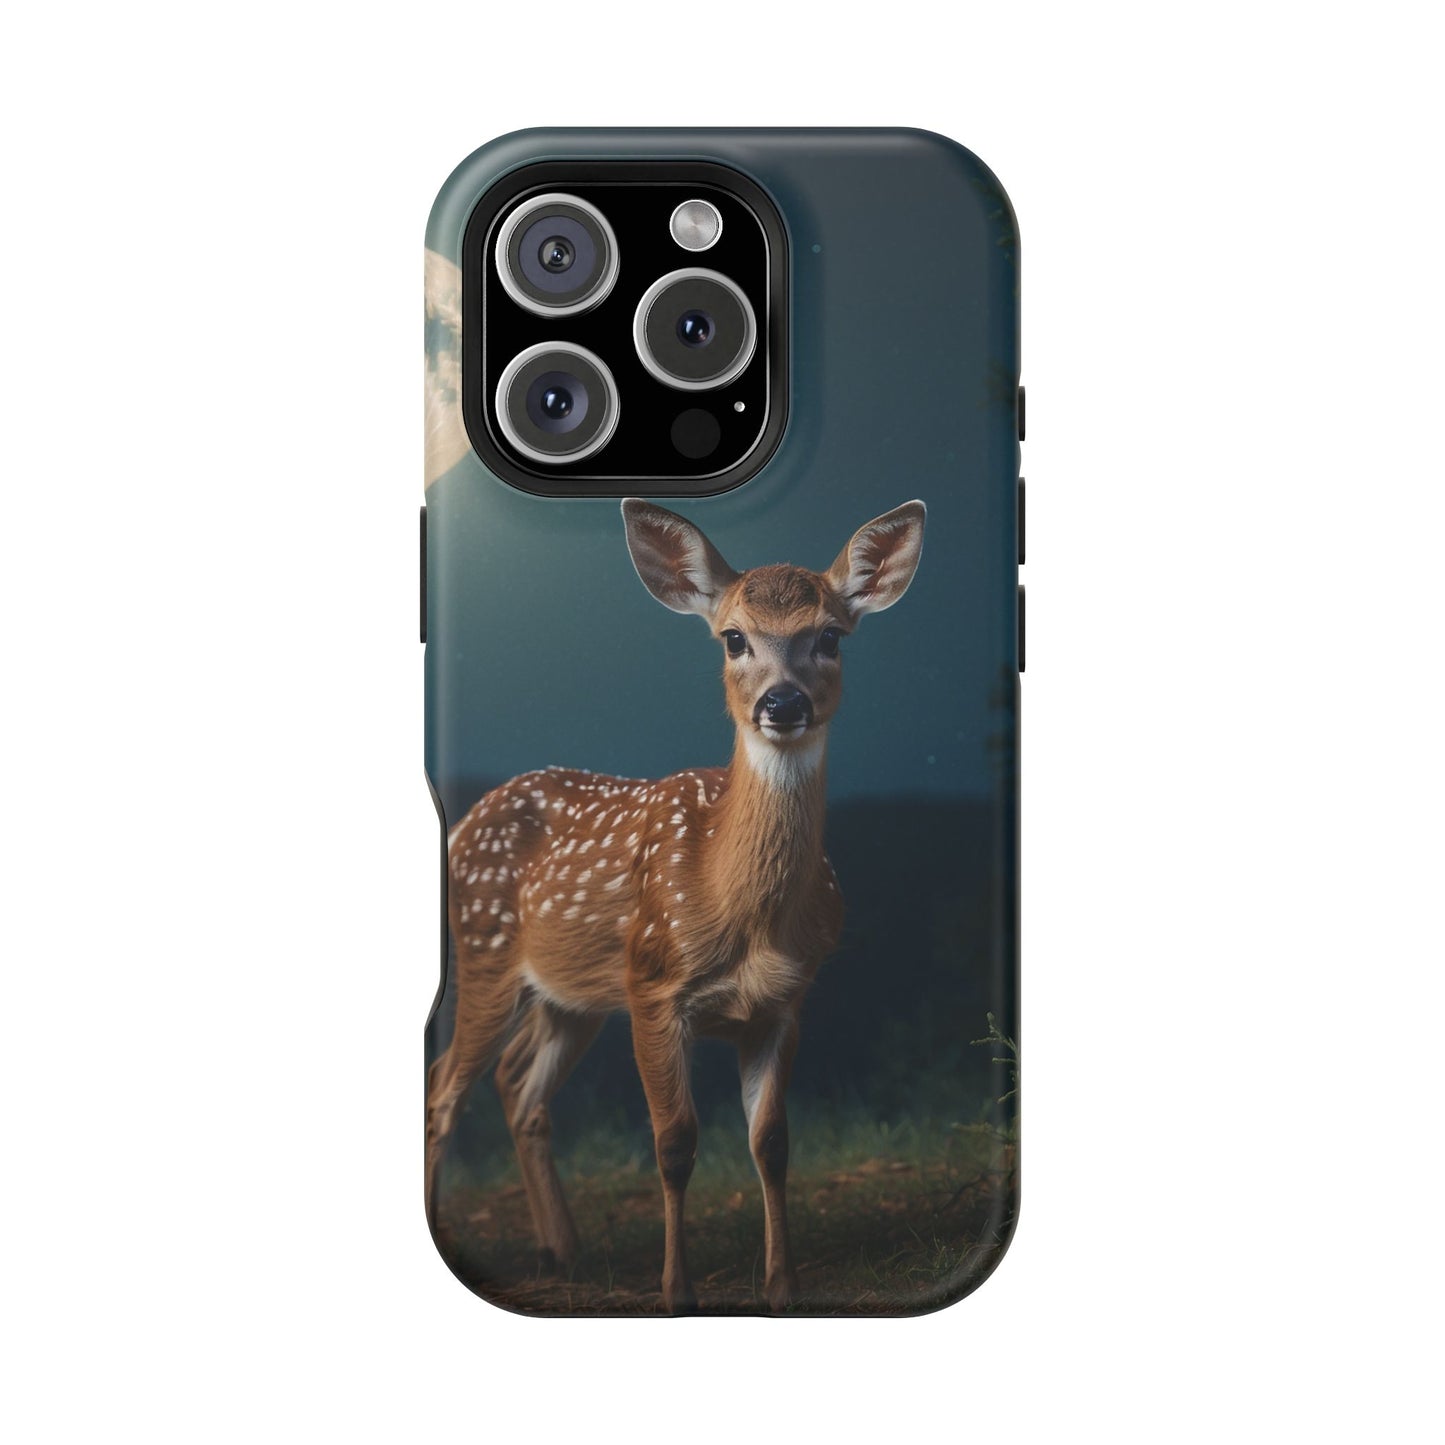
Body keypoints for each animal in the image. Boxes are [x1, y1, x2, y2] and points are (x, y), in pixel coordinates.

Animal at [426, 496, 926, 1312]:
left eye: (829, 636)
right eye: (733, 638)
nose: (781, 702)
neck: (741, 911)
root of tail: (466, 822)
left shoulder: (784, 1002)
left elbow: (771, 1142)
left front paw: (782, 1286)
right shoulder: (655, 989)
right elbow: (674, 1142)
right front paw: (677, 1290)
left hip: (574, 995)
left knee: (518, 1086)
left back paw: (563, 1249)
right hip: (486, 955)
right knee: (445, 1086)